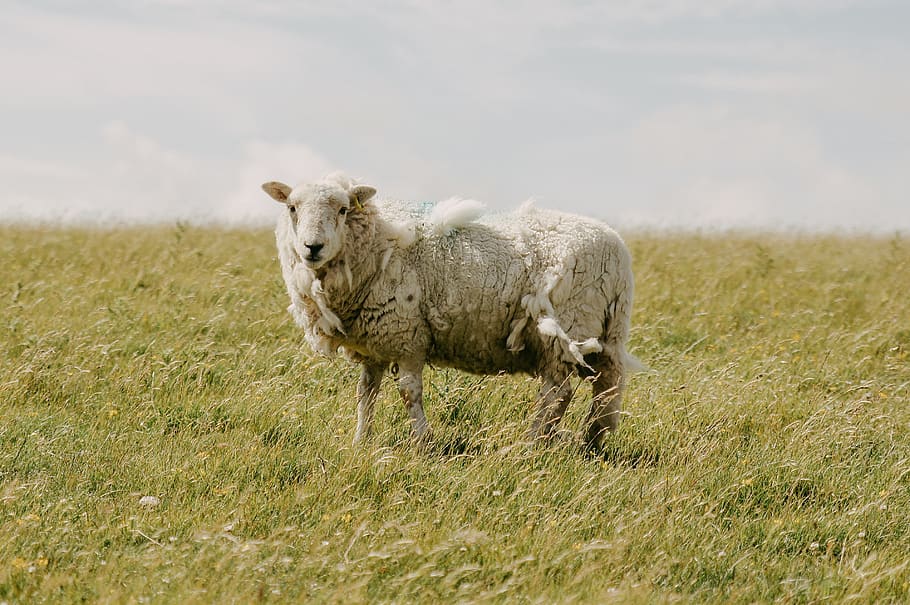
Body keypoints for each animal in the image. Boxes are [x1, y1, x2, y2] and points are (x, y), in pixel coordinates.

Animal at [261, 172, 642, 450]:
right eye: (292, 208)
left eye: (342, 210)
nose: (312, 247)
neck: (376, 243)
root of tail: (619, 254)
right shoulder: (375, 342)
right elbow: (365, 393)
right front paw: (360, 441)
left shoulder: (407, 335)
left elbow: (408, 392)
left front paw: (422, 442)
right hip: (601, 334)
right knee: (605, 390)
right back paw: (591, 442)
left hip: (565, 330)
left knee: (557, 394)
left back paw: (531, 444)